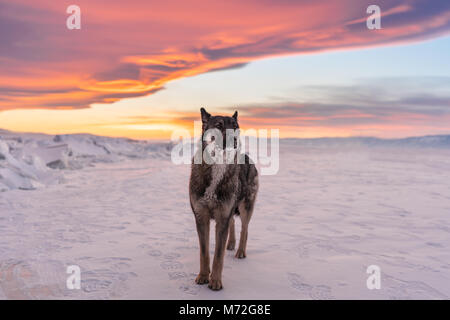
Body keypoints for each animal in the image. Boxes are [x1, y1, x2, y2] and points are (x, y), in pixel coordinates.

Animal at [189, 107, 258, 290]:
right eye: (219, 125)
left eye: (235, 126)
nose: (234, 140)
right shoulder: (202, 217)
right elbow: (204, 251)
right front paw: (203, 276)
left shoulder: (222, 218)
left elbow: (218, 256)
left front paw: (215, 282)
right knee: (233, 222)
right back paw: (231, 243)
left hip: (246, 206)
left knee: (245, 229)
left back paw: (240, 251)